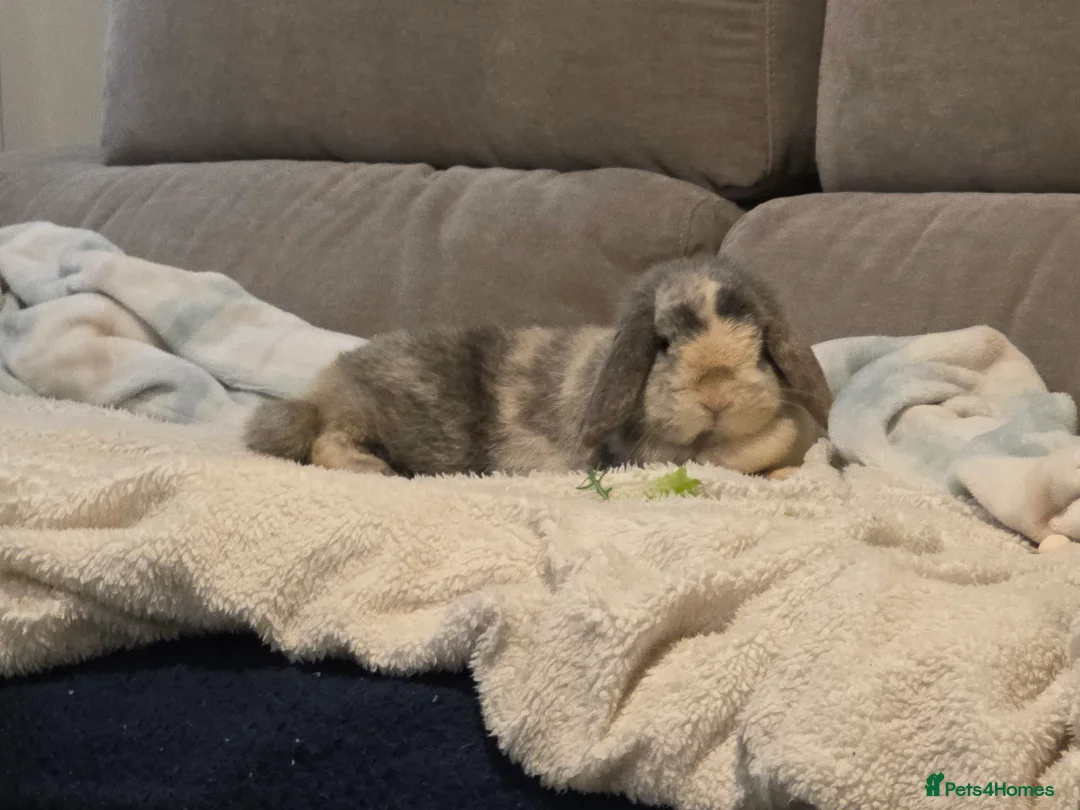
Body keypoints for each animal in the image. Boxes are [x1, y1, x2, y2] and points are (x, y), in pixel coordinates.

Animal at [243, 255, 833, 478]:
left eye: (760, 346)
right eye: (664, 343)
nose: (716, 395)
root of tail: (322, 388)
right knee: (325, 440)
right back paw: (375, 469)